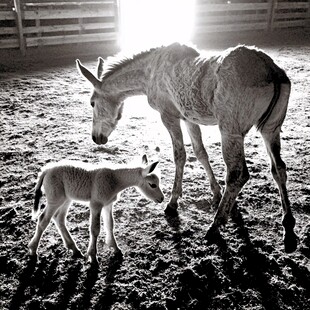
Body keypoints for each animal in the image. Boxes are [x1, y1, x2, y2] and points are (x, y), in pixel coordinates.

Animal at [29, 155, 165, 264]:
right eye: (152, 185)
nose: (162, 198)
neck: (115, 180)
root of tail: (46, 170)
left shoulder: (108, 204)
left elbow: (110, 225)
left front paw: (115, 248)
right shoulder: (96, 204)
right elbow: (95, 229)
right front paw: (93, 257)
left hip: (66, 199)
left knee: (59, 218)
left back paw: (74, 249)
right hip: (55, 198)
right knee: (43, 220)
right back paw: (33, 250)